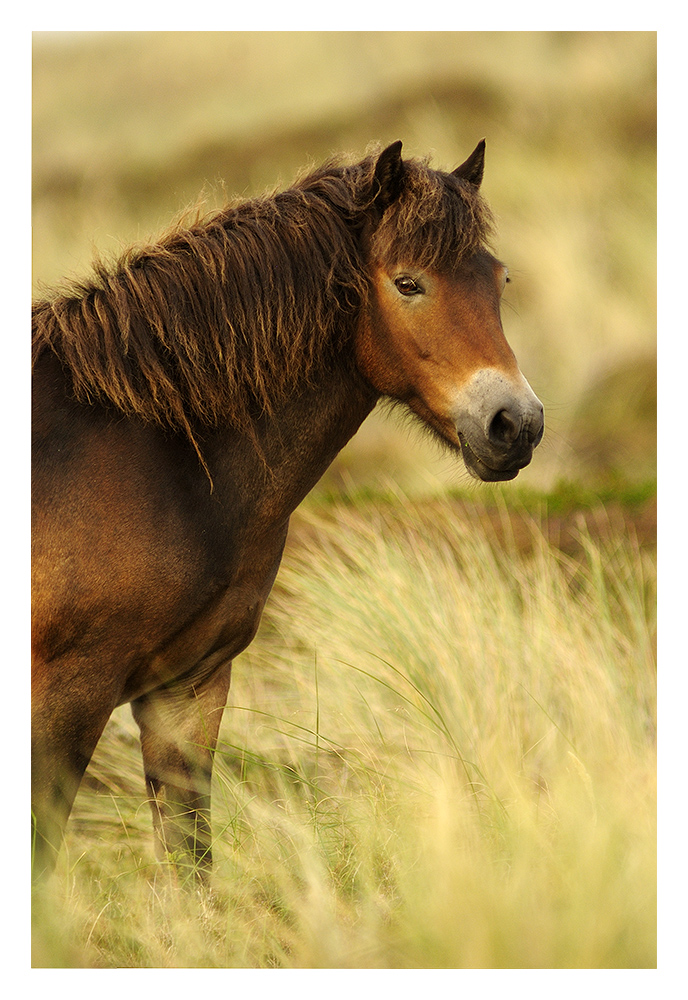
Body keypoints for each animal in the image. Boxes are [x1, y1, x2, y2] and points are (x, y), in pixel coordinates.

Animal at [32, 139, 544, 876]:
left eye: (498, 280)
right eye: (408, 283)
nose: (516, 425)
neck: (155, 450)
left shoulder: (187, 689)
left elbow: (190, 861)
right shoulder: (67, 693)